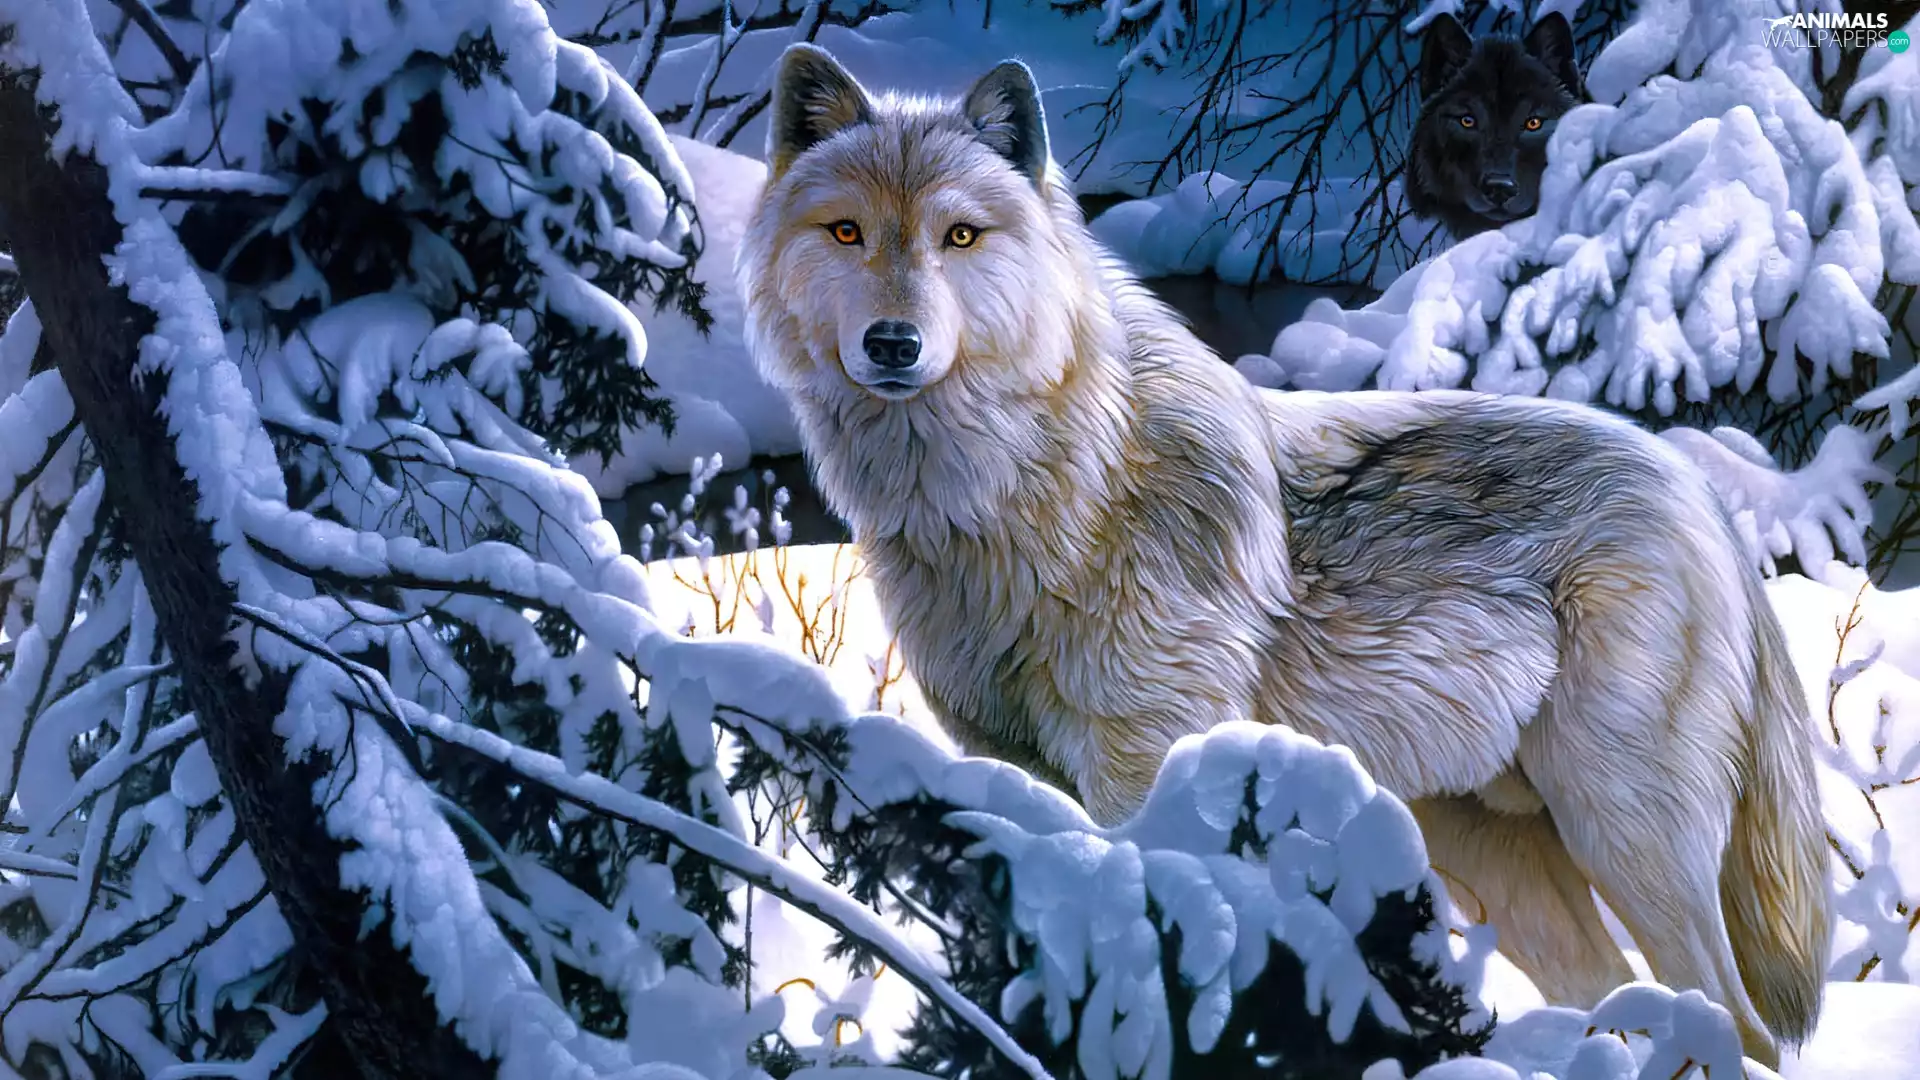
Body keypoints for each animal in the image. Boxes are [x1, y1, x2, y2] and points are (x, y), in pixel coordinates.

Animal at [736, 44, 1831, 1067]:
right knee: (1616, 1001)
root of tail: (1699, 492)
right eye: (847, 231)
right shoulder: (1014, 774)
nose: (892, 343)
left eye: (959, 235)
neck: (1026, 496)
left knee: (1740, 1028)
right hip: (1497, 860)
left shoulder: (1146, 774)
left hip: (1624, 837)